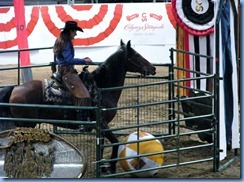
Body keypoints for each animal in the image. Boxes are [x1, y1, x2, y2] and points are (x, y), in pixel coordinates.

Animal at [0, 39, 156, 173]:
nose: (153, 68)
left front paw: (102, 166)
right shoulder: (103, 123)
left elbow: (102, 145)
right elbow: (115, 143)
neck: (101, 87)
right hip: (26, 125)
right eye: (136, 54)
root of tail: (15, 88)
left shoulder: (100, 127)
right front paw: (110, 168)